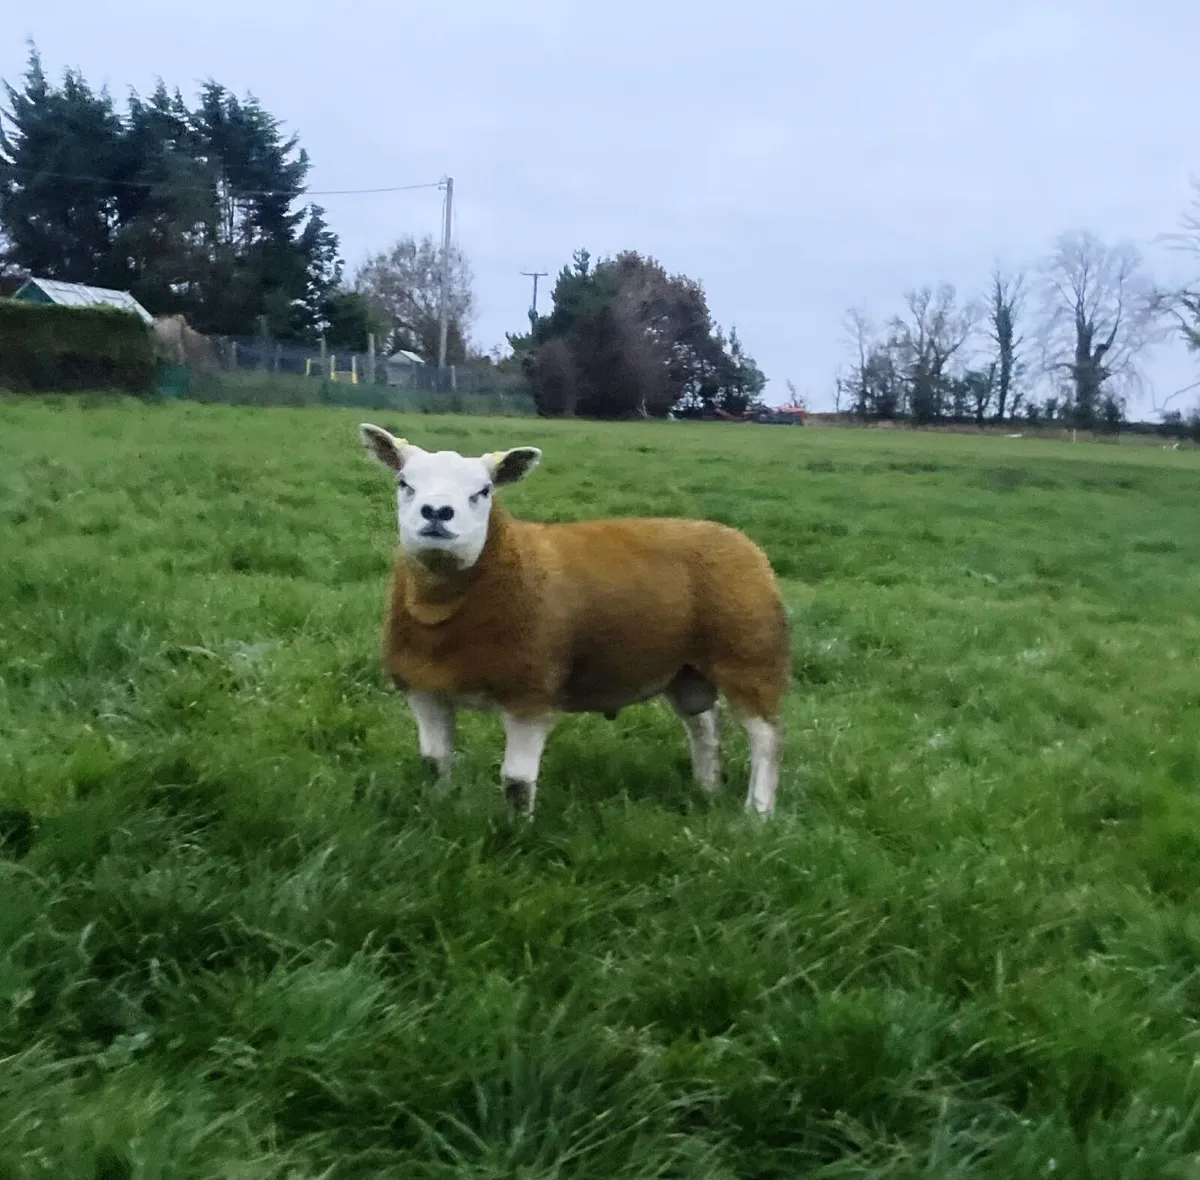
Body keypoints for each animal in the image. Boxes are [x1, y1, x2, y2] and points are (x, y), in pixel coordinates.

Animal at [358, 423, 792, 819]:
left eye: (483, 492)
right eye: (404, 483)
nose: (437, 514)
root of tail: (738, 539)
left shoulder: (530, 696)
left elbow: (516, 782)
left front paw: (516, 834)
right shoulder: (424, 690)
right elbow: (435, 765)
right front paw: (436, 809)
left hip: (750, 657)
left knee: (766, 738)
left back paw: (758, 813)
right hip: (684, 670)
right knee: (704, 726)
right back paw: (707, 789)